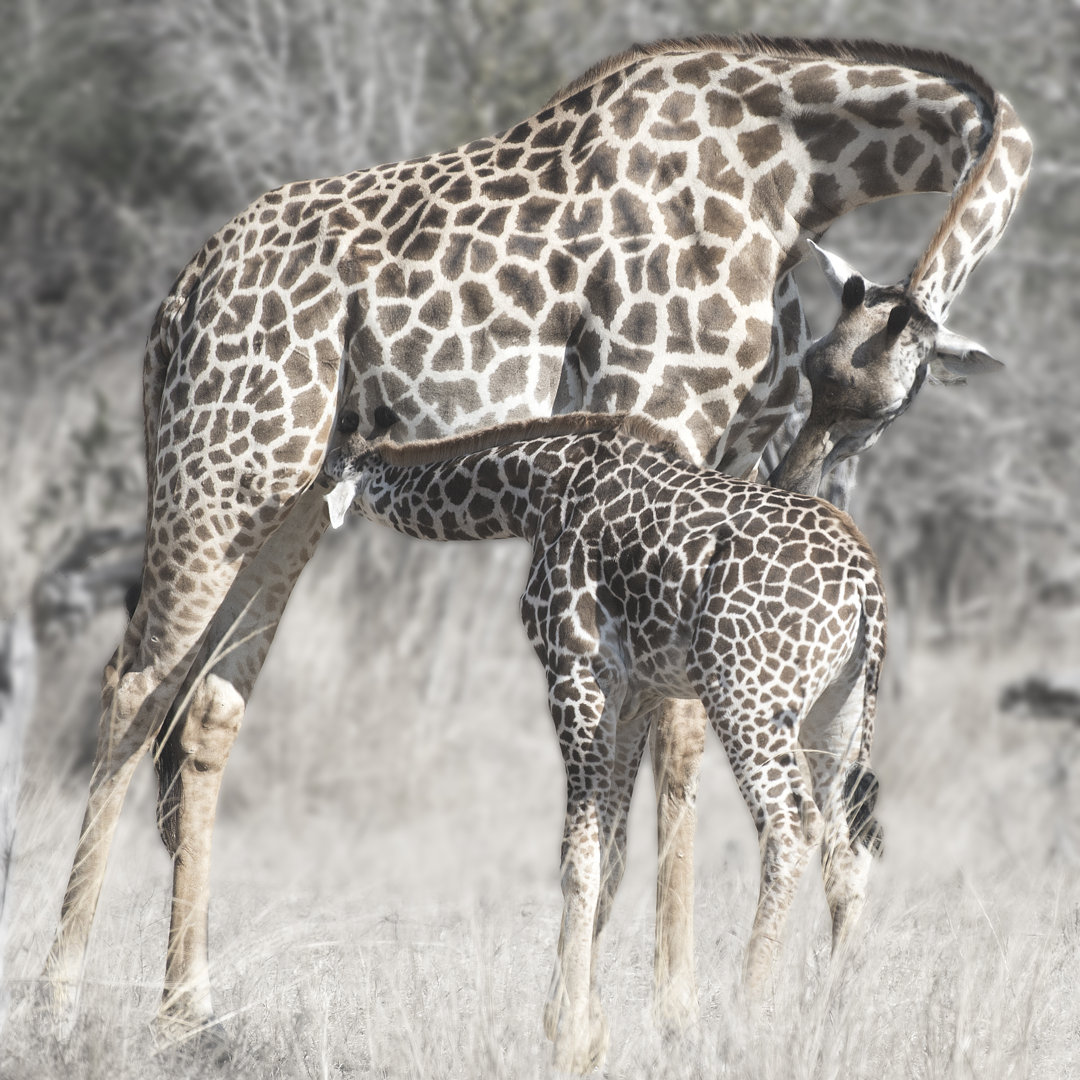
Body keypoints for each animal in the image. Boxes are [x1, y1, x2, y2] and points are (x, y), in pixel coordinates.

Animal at [321, 410, 885, 1071]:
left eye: (332, 465)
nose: (311, 489)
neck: (538, 492)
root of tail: (865, 583)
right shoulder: (636, 694)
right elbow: (613, 856)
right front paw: (585, 1032)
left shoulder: (576, 673)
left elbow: (578, 858)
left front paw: (566, 1040)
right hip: (838, 710)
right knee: (848, 849)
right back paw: (826, 1032)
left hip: (747, 697)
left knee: (791, 827)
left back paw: (739, 1030)